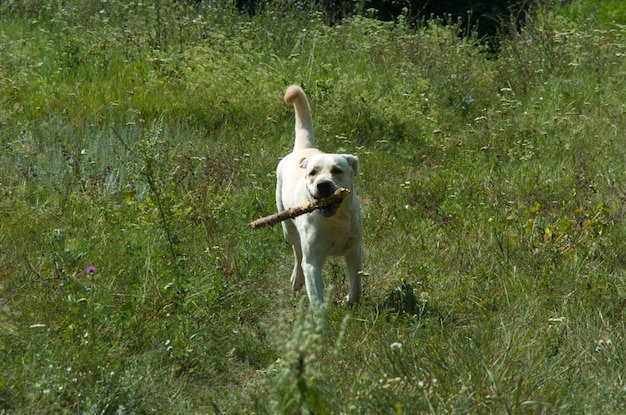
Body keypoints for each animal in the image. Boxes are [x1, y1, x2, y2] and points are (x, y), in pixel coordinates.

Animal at [276, 86, 364, 310]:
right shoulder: (312, 262)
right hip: (287, 227)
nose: (323, 185)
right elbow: (316, 297)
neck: (334, 221)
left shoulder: (354, 250)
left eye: (337, 170)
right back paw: (297, 278)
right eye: (313, 173)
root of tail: (302, 149)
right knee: (297, 252)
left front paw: (349, 300)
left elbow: (357, 285)